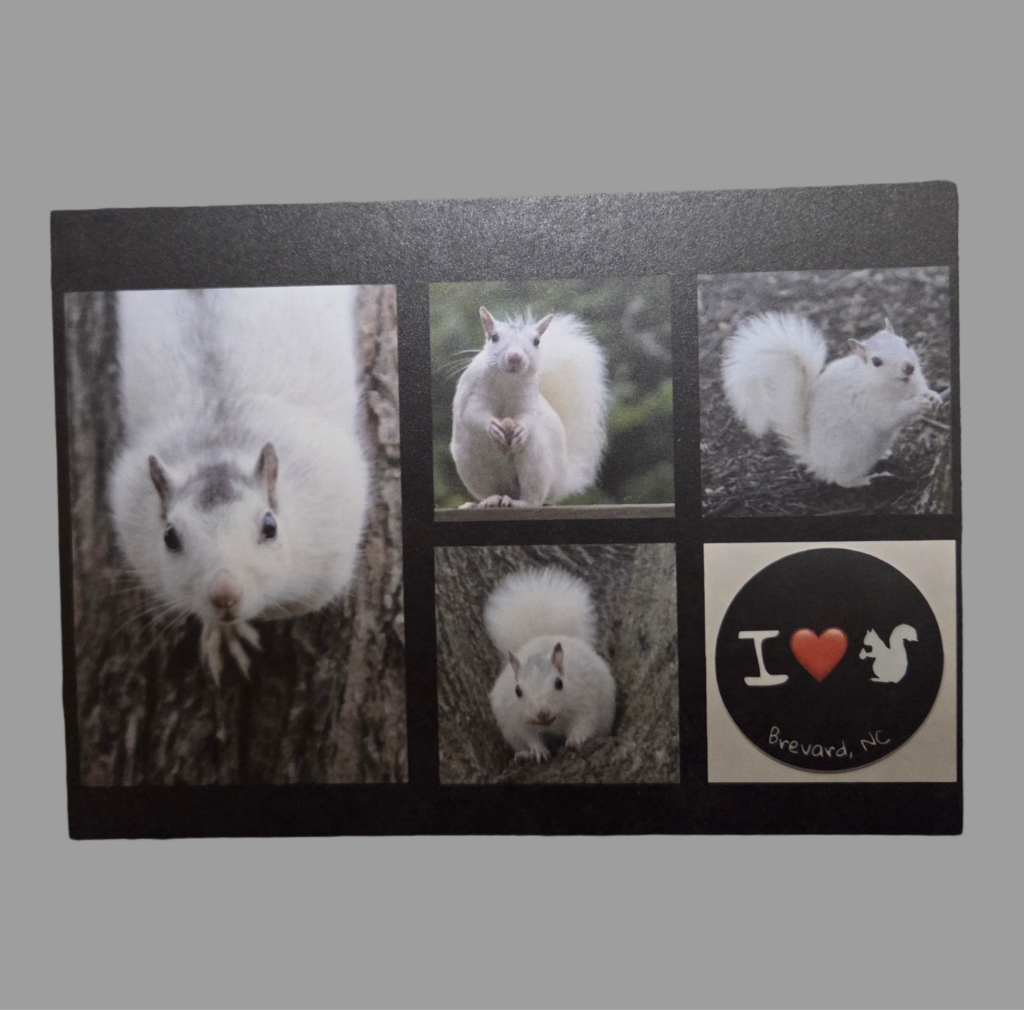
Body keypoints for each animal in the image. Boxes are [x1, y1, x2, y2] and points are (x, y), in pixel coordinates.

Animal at [109, 286, 370, 683]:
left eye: (270, 526)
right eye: (169, 537)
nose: (224, 595)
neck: (218, 442)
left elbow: (295, 605)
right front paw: (223, 632)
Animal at [450, 307, 608, 507]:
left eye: (536, 341)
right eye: (494, 337)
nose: (515, 357)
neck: (507, 380)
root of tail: (562, 479)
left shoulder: (528, 396)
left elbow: (529, 414)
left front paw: (521, 429)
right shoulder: (473, 393)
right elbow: (473, 413)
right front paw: (492, 426)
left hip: (535, 461)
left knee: (534, 498)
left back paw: (518, 502)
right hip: (472, 464)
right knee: (491, 490)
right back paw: (486, 501)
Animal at [485, 567, 616, 762]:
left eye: (559, 683)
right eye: (517, 691)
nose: (542, 713)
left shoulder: (587, 702)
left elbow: (585, 723)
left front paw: (575, 739)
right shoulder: (517, 719)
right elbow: (529, 736)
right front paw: (537, 750)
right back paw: (523, 753)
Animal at [720, 312, 943, 488]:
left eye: (907, 343)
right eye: (876, 362)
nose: (908, 368)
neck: (900, 386)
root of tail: (817, 459)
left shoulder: (917, 382)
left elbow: (923, 389)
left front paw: (934, 396)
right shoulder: (869, 403)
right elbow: (889, 416)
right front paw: (917, 403)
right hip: (851, 453)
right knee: (842, 480)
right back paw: (869, 479)